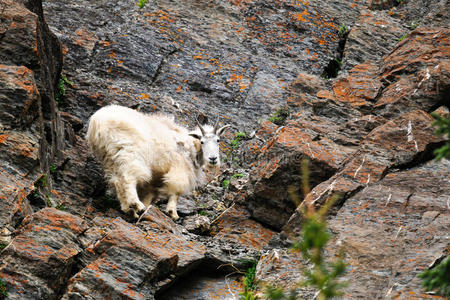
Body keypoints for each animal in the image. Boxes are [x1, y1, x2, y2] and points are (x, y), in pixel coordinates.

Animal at [86, 104, 230, 219]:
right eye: (202, 141)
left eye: (218, 140)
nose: (213, 159)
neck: (191, 146)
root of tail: (97, 123)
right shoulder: (180, 168)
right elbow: (176, 191)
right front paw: (173, 213)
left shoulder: (156, 178)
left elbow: (151, 193)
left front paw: (148, 206)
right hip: (129, 153)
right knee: (128, 178)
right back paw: (136, 205)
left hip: (109, 158)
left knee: (117, 181)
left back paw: (130, 210)